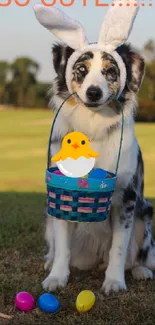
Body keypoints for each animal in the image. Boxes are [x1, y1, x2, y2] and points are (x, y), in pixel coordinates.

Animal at [41, 41, 155, 294]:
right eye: (81, 69)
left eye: (110, 71)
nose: (94, 92)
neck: (93, 123)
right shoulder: (62, 195)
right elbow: (63, 247)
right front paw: (57, 277)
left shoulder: (127, 198)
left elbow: (119, 248)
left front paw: (114, 281)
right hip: (48, 220)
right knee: (55, 246)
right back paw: (50, 261)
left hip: (144, 215)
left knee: (139, 254)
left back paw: (141, 270)